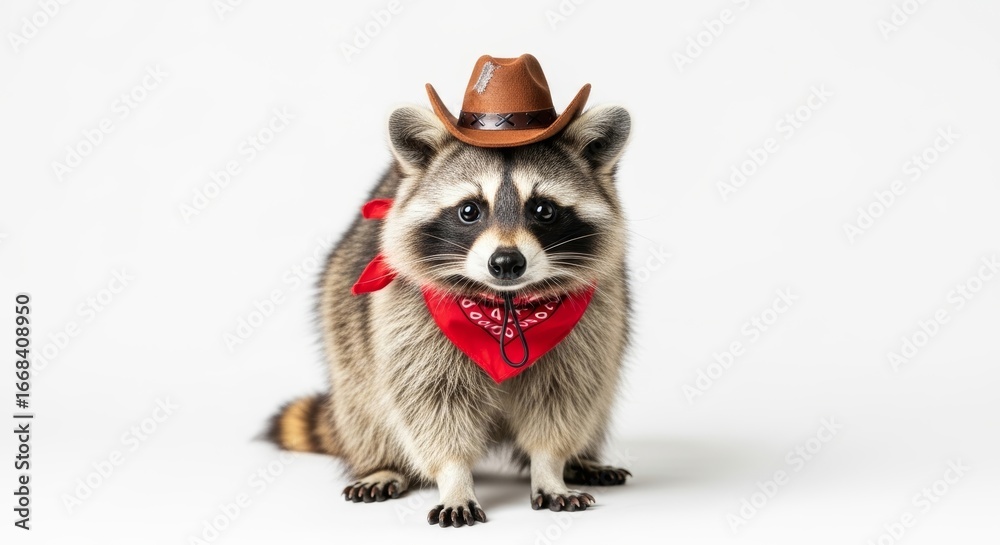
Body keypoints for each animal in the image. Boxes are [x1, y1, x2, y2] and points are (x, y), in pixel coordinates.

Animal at [268, 103, 633, 527]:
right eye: (469, 210)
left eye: (543, 209)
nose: (506, 262)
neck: (504, 306)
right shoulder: (407, 316)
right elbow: (432, 404)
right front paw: (455, 478)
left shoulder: (591, 321)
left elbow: (563, 397)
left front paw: (551, 466)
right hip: (344, 327)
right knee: (363, 403)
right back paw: (381, 463)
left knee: (597, 399)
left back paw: (581, 459)